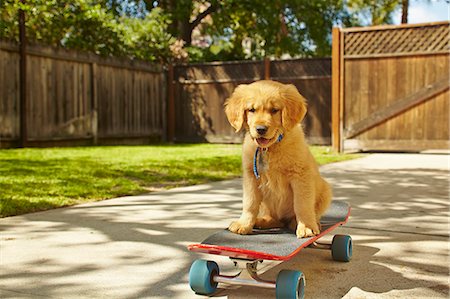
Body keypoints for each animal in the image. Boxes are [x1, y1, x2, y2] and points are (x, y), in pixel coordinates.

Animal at [224, 79, 330, 239]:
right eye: (251, 110)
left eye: (274, 110)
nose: (261, 129)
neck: (270, 149)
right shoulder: (251, 177)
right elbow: (249, 203)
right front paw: (244, 224)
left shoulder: (301, 175)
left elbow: (302, 204)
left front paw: (306, 227)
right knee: (274, 219)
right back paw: (260, 221)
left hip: (325, 189)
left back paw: (302, 222)